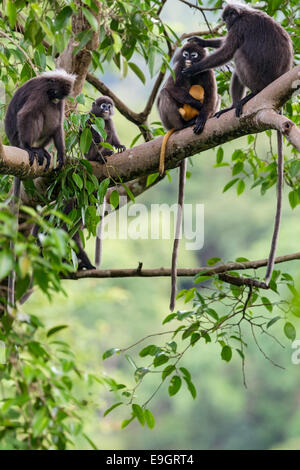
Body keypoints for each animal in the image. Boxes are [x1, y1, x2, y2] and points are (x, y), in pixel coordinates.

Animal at [4, 68, 75, 306]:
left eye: (60, 94)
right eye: (54, 90)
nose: (54, 97)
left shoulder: (59, 102)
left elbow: (59, 125)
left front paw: (61, 154)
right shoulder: (40, 92)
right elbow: (27, 114)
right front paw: (30, 148)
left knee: (51, 119)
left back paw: (44, 151)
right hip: (19, 137)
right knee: (37, 114)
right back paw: (31, 148)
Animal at [183, 3, 292, 284]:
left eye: (228, 19)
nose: (227, 23)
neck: (245, 13)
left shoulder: (241, 27)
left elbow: (228, 51)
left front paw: (192, 69)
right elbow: (224, 45)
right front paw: (202, 40)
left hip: (256, 77)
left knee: (239, 55)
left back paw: (243, 100)